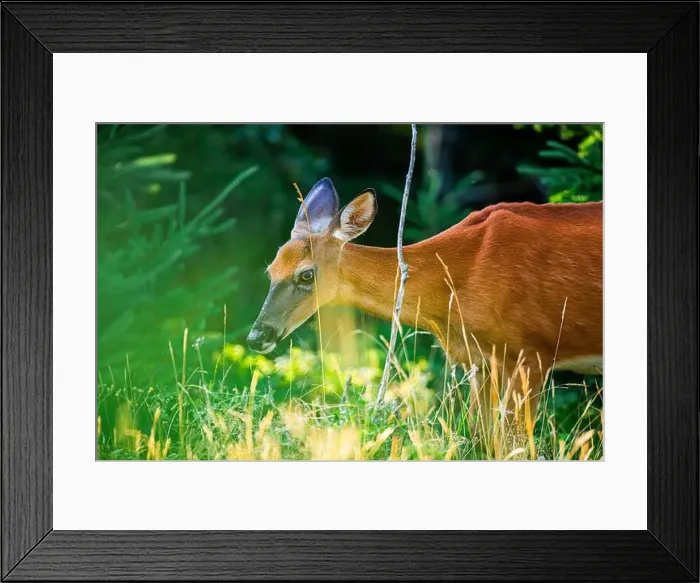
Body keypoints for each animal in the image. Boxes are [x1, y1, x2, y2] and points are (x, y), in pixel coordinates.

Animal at [247, 177, 603, 445]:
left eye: (306, 274)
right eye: (271, 271)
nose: (256, 336)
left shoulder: (531, 351)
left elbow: (515, 445)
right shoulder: (480, 361)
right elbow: (482, 439)